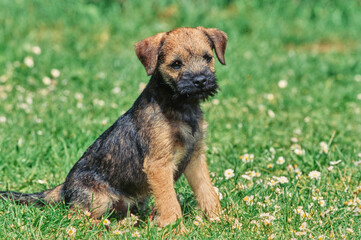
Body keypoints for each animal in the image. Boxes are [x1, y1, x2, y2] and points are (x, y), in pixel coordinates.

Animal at [0, 27, 226, 228]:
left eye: (207, 57)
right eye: (176, 64)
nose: (200, 81)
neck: (180, 106)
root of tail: (65, 186)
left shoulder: (195, 157)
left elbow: (207, 192)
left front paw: (221, 220)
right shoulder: (159, 165)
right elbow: (169, 202)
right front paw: (176, 229)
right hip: (98, 199)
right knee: (75, 219)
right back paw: (107, 227)